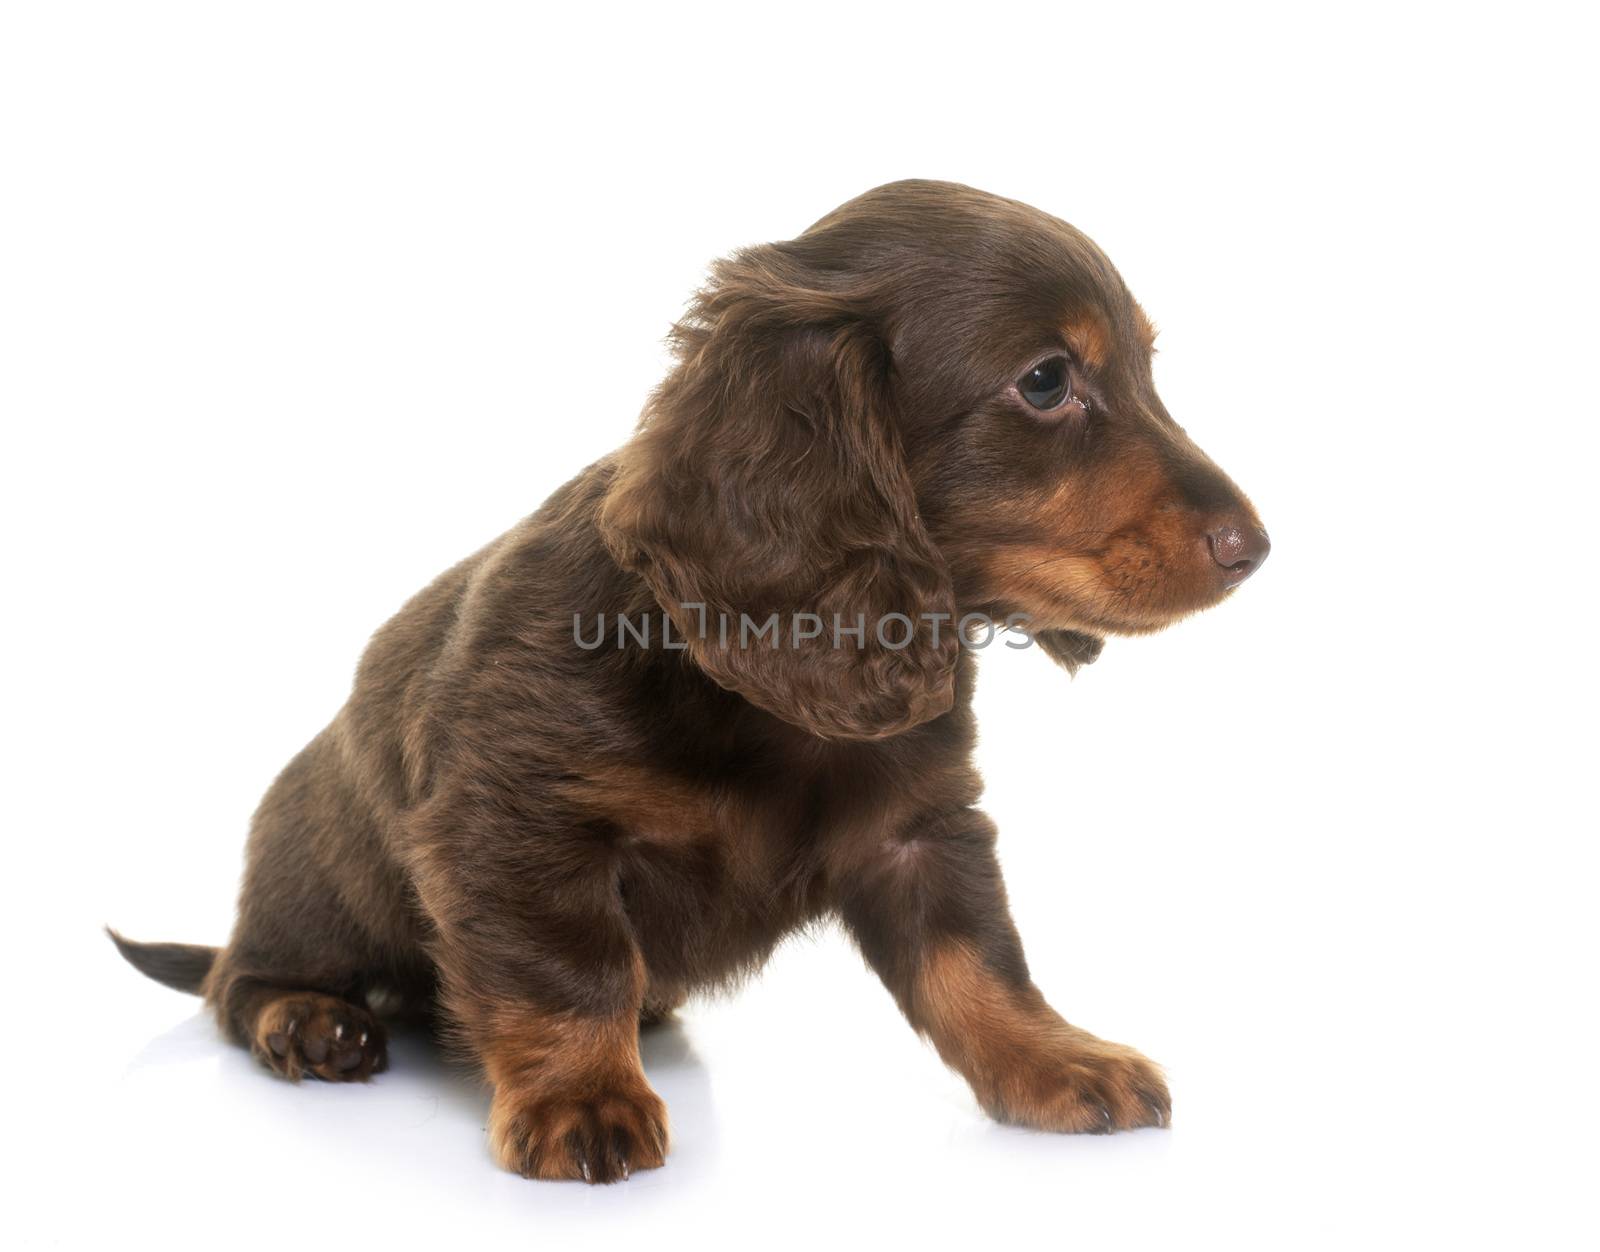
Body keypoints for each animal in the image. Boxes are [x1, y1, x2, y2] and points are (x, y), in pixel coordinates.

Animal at [112, 179, 1267, 1184]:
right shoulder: (515, 828)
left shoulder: (919, 829)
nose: (1255, 548)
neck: (763, 697)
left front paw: (1055, 1060)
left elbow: (976, 959)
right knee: (235, 981)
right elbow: (569, 970)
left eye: (1147, 366)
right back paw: (307, 1020)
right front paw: (581, 1097)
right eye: (1045, 380)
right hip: (318, 884)